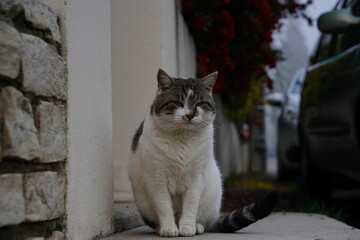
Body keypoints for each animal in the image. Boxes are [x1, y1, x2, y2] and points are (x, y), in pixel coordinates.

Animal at [128, 68, 280, 237]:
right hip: (144, 202)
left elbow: (191, 205)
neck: (182, 140)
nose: (190, 114)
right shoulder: (156, 178)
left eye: (200, 103)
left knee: (204, 221)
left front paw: (187, 228)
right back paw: (162, 228)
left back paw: (197, 227)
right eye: (178, 103)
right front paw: (169, 228)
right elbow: (164, 206)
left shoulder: (196, 176)